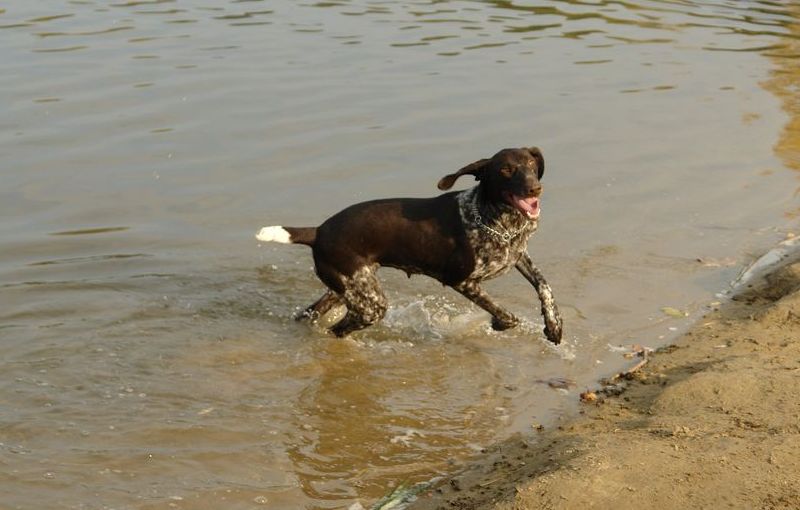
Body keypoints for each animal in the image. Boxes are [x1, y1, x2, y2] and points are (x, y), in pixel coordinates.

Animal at [256, 147, 564, 344]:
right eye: (506, 170)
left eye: (531, 167)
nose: (535, 188)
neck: (495, 220)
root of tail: (318, 231)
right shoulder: (462, 281)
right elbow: (504, 313)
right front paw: (499, 323)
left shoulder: (519, 255)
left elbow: (544, 285)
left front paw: (555, 325)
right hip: (370, 303)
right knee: (338, 329)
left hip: (345, 288)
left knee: (310, 315)